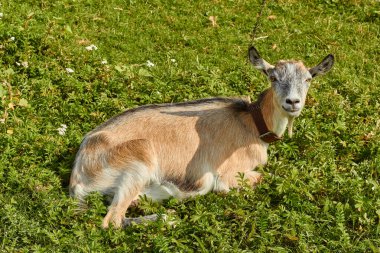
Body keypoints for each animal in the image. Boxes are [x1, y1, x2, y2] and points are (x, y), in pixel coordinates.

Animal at [70, 46, 334, 228]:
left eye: (308, 79)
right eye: (273, 77)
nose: (292, 102)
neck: (251, 123)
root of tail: (78, 173)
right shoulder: (227, 175)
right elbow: (261, 178)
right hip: (138, 158)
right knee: (112, 221)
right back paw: (169, 219)